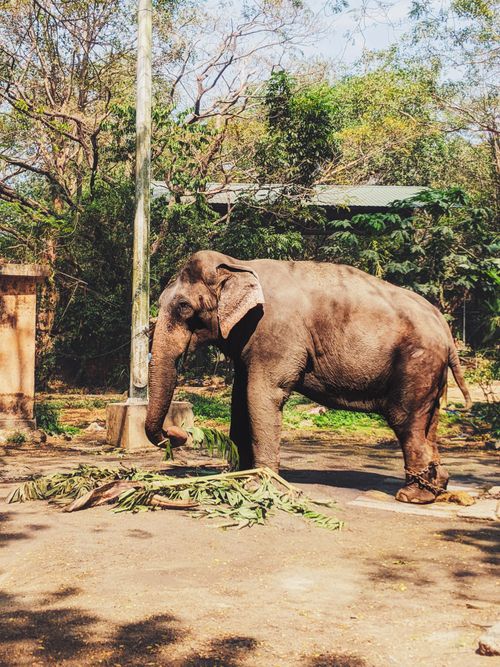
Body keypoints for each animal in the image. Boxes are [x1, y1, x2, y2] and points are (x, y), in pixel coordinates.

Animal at [145, 250, 472, 504]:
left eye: (184, 306)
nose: (178, 434)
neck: (238, 263)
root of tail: (445, 329)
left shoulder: (276, 332)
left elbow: (261, 394)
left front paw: (261, 485)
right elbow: (240, 397)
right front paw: (234, 478)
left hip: (417, 364)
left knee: (407, 421)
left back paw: (412, 496)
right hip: (430, 372)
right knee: (429, 422)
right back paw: (435, 486)